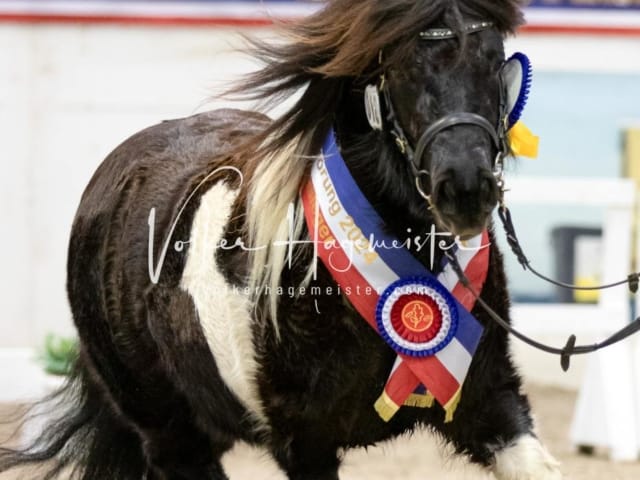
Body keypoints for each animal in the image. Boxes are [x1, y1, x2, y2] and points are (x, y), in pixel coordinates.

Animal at [0, 0, 564, 480]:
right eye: (402, 67)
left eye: (494, 60)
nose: (465, 188)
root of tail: (112, 177)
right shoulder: (305, 440)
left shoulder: (489, 402)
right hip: (168, 431)